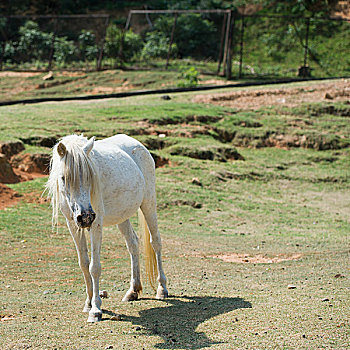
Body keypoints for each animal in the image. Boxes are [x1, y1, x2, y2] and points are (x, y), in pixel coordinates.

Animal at [46, 134, 168, 322]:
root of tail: (138, 144)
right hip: (122, 216)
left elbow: (94, 267)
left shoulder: (96, 224)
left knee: (156, 242)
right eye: (64, 178)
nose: (86, 216)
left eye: (90, 176)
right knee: (133, 244)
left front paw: (96, 309)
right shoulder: (72, 224)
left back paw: (162, 289)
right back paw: (133, 291)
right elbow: (84, 263)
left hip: (148, 203)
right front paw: (88, 303)